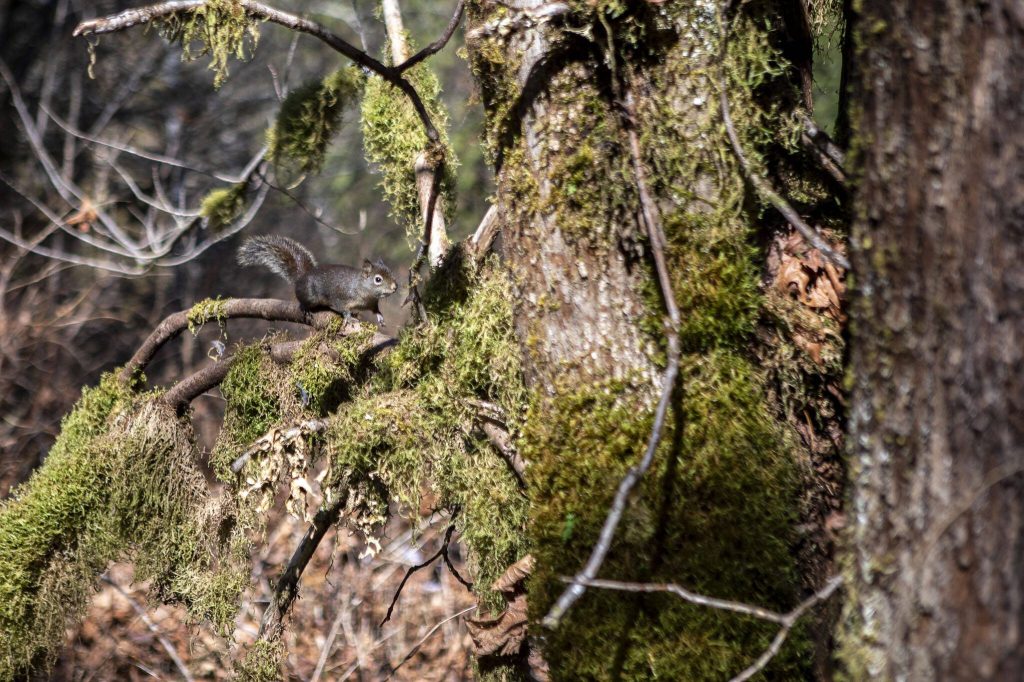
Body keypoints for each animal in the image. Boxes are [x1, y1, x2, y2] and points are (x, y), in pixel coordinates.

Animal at [237, 235, 398, 326]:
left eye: (390, 272)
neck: (363, 290)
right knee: (303, 301)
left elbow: (375, 309)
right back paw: (306, 309)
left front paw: (380, 316)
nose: (395, 287)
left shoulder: (371, 303)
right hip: (310, 295)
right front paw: (350, 318)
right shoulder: (341, 297)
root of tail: (302, 277)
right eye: (378, 279)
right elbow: (343, 309)